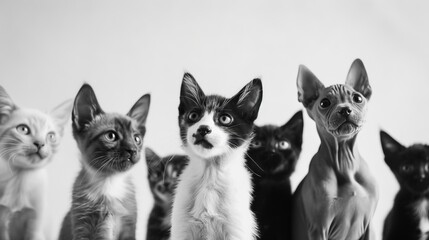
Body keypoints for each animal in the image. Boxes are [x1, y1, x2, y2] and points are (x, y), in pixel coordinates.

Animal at [0, 85, 71, 239]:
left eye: (51, 136)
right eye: (23, 129)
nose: (40, 144)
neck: (20, 178)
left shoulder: (35, 224)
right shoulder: (2, 221)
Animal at [57, 84, 150, 240]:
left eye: (137, 139)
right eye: (111, 136)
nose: (132, 150)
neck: (108, 182)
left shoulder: (128, 227)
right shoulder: (83, 228)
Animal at [171, 72, 260, 240]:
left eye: (225, 119)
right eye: (193, 115)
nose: (203, 129)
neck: (209, 174)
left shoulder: (236, 228)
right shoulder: (181, 229)